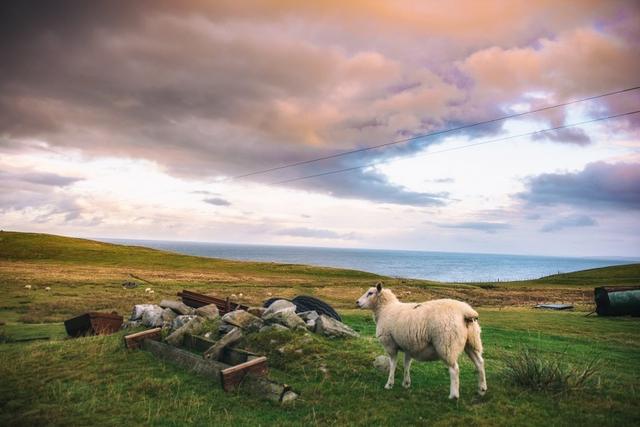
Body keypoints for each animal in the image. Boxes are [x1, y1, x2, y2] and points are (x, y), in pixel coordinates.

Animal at [358, 284, 488, 402]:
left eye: (370, 293)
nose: (357, 302)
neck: (385, 309)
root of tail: (466, 311)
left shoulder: (390, 345)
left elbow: (393, 364)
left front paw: (389, 384)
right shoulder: (408, 346)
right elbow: (407, 364)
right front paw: (406, 383)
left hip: (447, 344)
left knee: (454, 369)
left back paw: (454, 395)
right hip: (472, 342)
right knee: (479, 363)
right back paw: (482, 389)